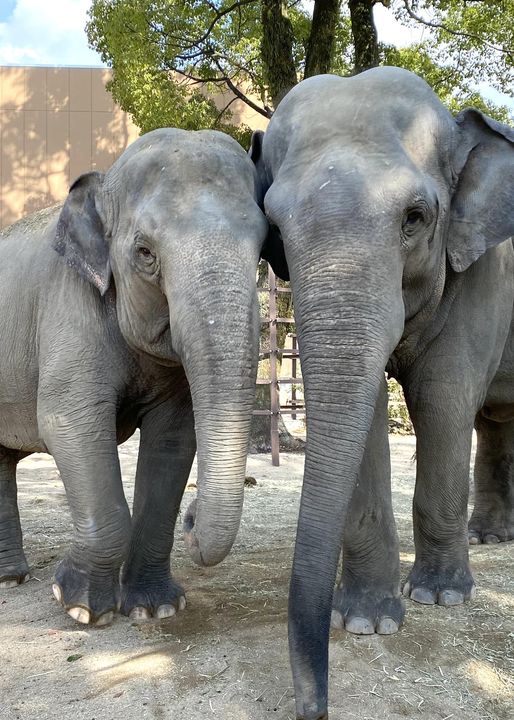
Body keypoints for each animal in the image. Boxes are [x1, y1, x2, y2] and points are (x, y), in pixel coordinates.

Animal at [0, 126, 270, 628]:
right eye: (145, 253)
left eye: (264, 247)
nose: (192, 517)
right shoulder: (69, 308)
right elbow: (69, 423)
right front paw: (81, 608)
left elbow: (173, 438)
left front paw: (155, 608)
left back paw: (8, 578)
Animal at [252, 66, 512, 716]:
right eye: (274, 228)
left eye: (415, 217)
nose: (313, 707)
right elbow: (363, 408)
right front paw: (367, 622)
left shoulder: (485, 270)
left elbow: (443, 399)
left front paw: (441, 598)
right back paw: (491, 536)